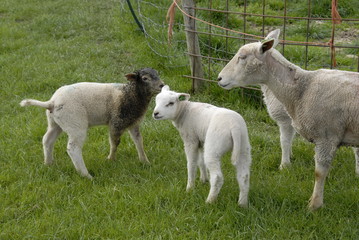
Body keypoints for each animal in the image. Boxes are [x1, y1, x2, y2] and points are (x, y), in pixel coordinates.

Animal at [20, 67, 164, 178]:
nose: (162, 85)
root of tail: (52, 102)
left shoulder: (133, 122)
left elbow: (139, 141)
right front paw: (111, 159)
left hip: (55, 123)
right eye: (145, 78)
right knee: (73, 148)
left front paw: (145, 161)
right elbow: (114, 142)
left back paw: (48, 163)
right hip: (75, 124)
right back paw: (86, 175)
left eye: (157, 74)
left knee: (47, 140)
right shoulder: (116, 121)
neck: (130, 94)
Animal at [217, 29, 359, 210]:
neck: (302, 90)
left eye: (242, 57)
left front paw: (314, 205)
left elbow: (319, 173)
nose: (219, 78)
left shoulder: (326, 136)